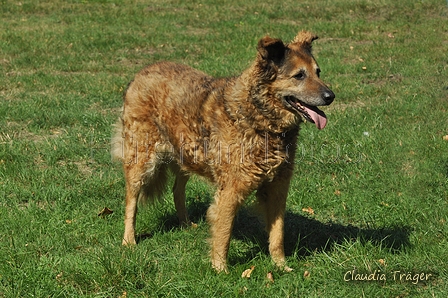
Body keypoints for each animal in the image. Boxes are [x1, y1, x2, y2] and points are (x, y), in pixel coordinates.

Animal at [111, 30, 334, 272]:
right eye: (299, 76)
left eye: (318, 72)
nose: (331, 96)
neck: (259, 118)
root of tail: (141, 73)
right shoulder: (231, 190)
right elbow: (224, 232)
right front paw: (220, 270)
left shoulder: (278, 188)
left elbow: (277, 234)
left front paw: (281, 266)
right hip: (141, 162)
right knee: (131, 202)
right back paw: (128, 240)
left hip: (187, 156)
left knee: (177, 190)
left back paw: (185, 224)